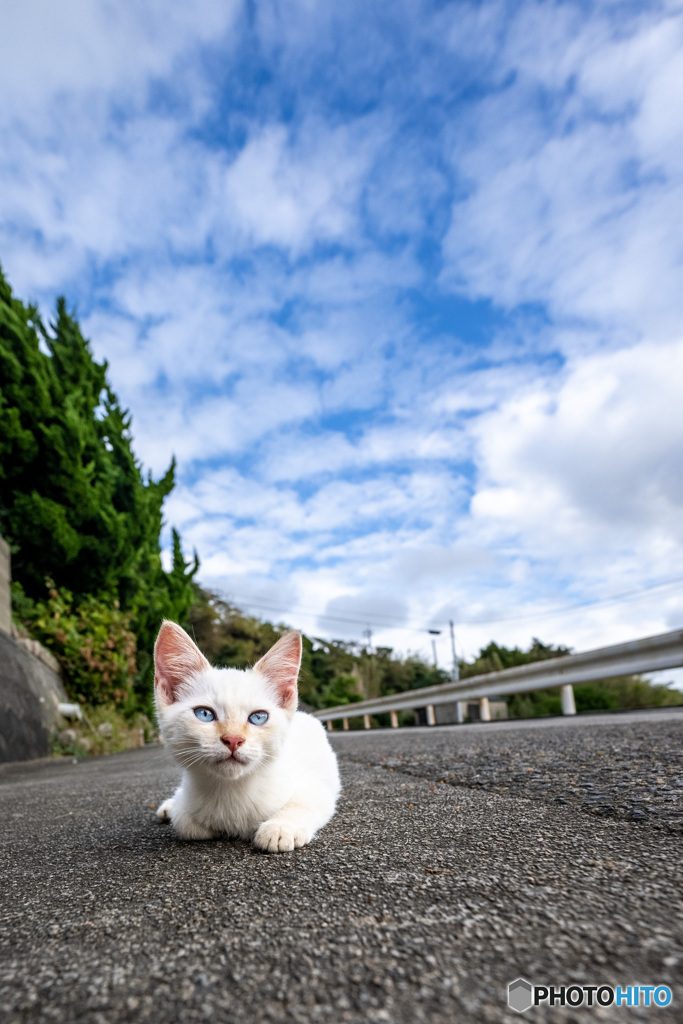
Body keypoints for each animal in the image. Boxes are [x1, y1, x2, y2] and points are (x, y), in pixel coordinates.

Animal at [152, 618, 339, 851]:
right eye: (204, 714)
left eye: (258, 717)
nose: (233, 740)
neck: (231, 792)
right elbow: (186, 822)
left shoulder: (317, 788)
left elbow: (304, 801)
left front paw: (280, 828)